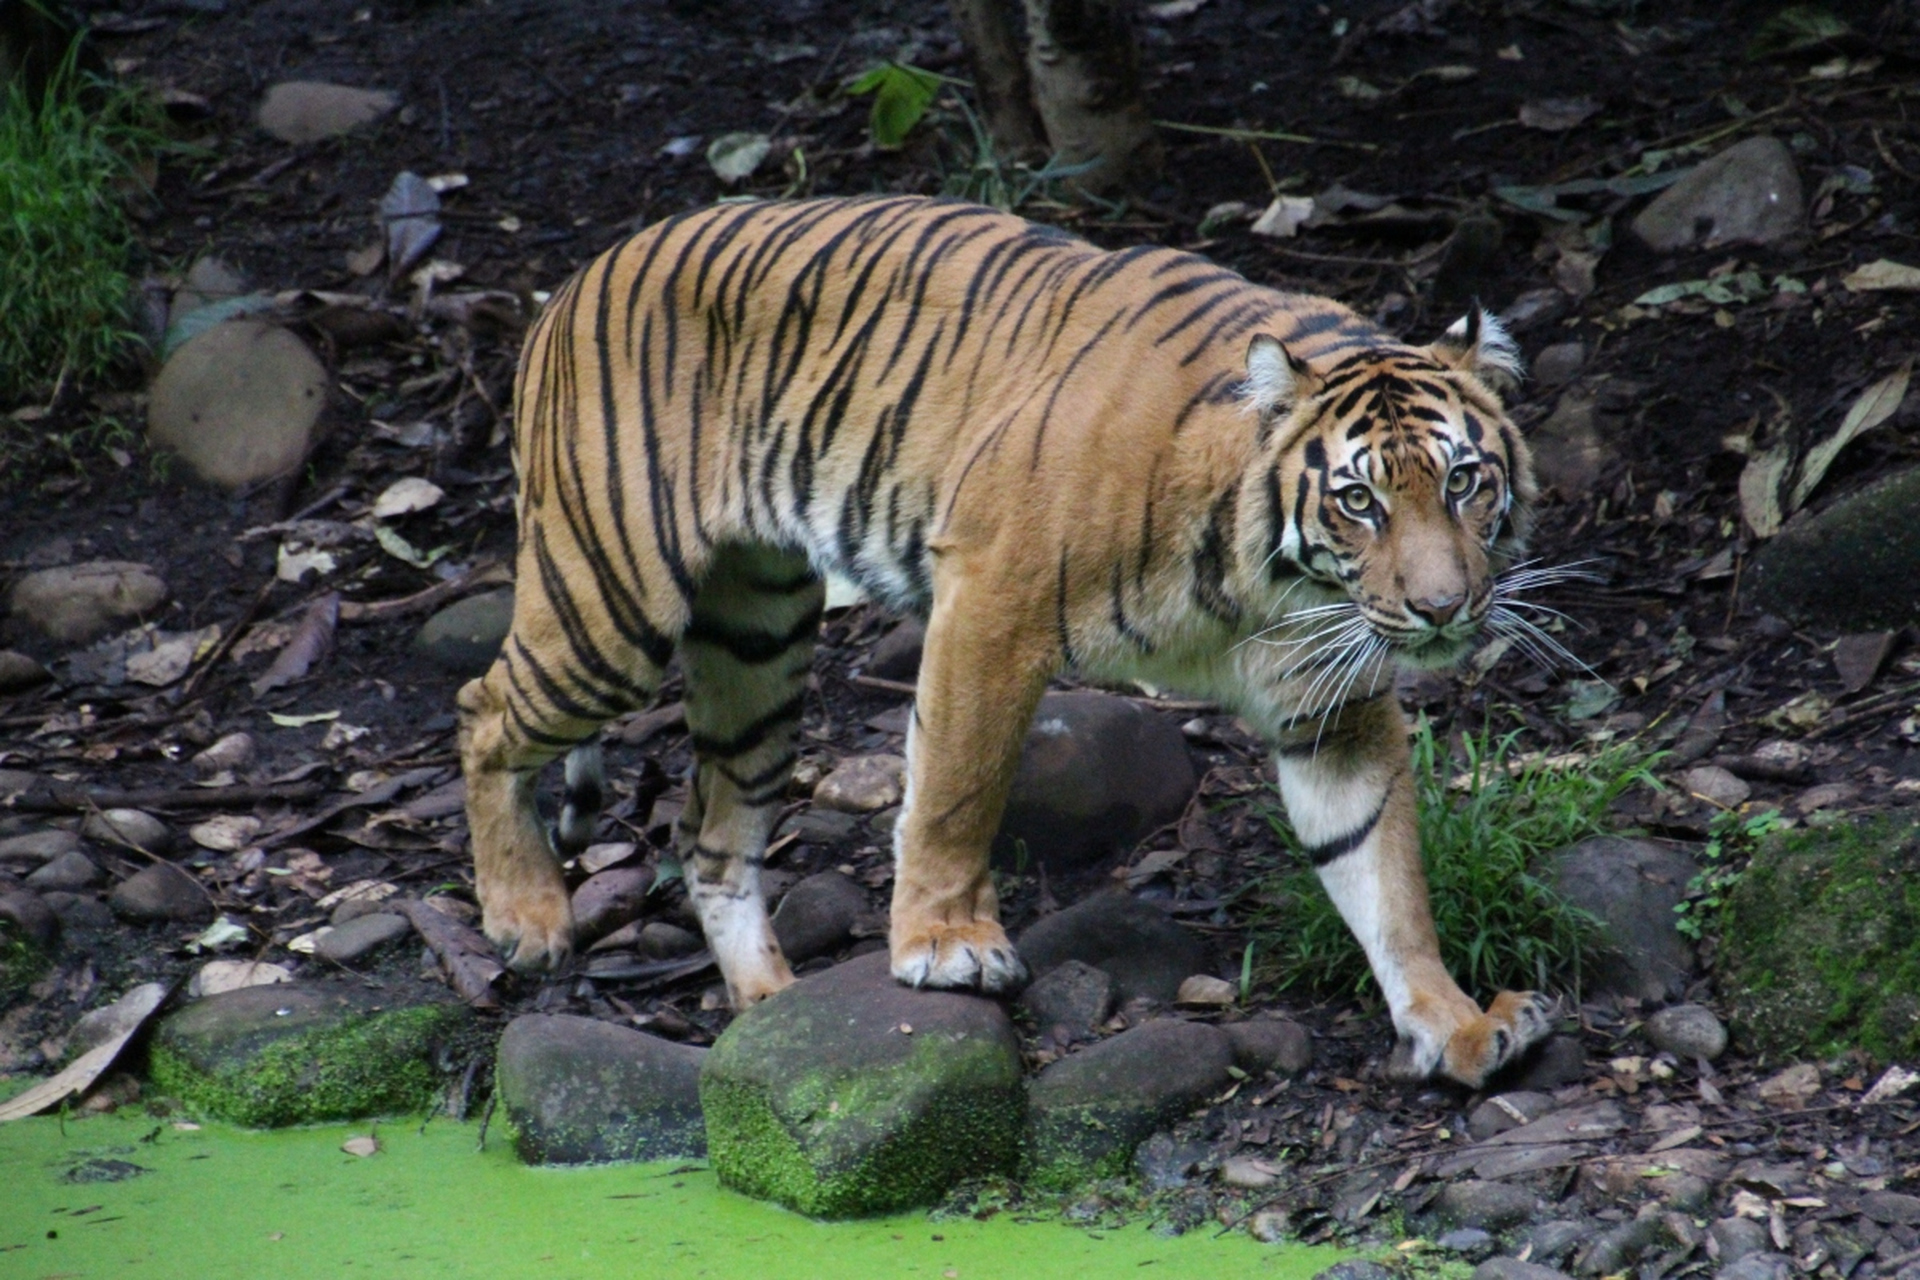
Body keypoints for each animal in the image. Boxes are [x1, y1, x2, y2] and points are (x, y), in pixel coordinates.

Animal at [460, 195, 1559, 1090]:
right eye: (1359, 500)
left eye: (1464, 481)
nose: (1441, 607)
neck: (1273, 581)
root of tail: (575, 280)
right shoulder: (993, 596)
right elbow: (958, 782)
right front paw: (946, 943)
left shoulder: (1329, 708)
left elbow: (1383, 873)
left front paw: (1458, 1023)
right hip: (608, 605)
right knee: (483, 711)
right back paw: (526, 914)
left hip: (757, 644)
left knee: (711, 832)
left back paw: (769, 1010)